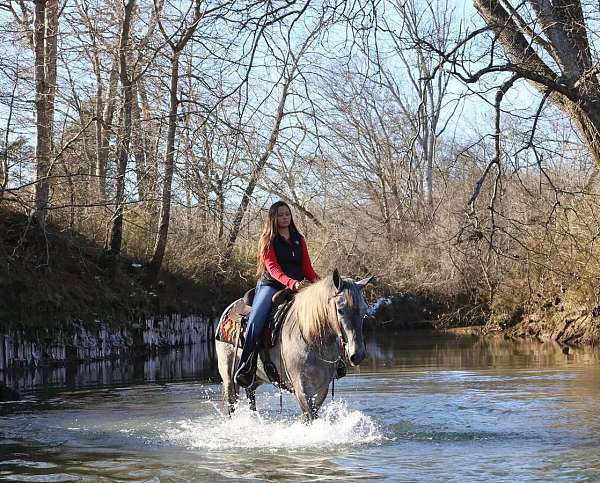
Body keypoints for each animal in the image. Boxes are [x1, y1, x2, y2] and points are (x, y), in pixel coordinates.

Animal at [216, 270, 372, 422]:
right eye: (340, 310)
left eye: (364, 310)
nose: (358, 355)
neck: (312, 337)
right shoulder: (301, 387)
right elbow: (311, 417)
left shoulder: (321, 387)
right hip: (229, 377)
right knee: (231, 405)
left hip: (255, 378)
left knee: (251, 396)